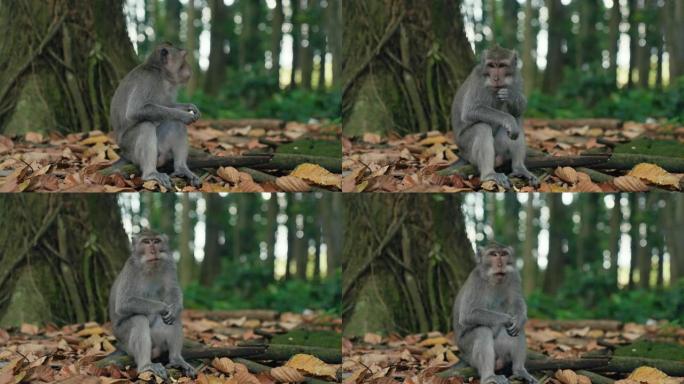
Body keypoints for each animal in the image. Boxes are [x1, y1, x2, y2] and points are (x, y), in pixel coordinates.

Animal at [107, 230, 196, 380]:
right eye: (146, 242)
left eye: (157, 241)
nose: (153, 250)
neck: (150, 267)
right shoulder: (131, 269)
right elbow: (124, 302)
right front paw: (163, 307)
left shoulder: (169, 264)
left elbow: (173, 291)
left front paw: (175, 308)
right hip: (125, 340)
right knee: (139, 320)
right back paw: (145, 365)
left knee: (172, 319)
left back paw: (176, 359)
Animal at [110, 42, 200, 190]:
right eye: (184, 58)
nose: (189, 68)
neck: (160, 73)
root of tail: (123, 154)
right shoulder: (149, 80)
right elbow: (135, 110)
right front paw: (184, 115)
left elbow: (167, 105)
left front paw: (190, 107)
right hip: (131, 150)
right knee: (146, 125)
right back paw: (150, 173)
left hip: (162, 150)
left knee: (175, 124)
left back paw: (181, 168)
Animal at [452, 45, 544, 189]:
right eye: (491, 65)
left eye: (501, 66)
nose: (495, 78)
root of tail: (462, 154)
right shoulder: (478, 79)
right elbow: (470, 110)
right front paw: (508, 120)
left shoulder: (517, 76)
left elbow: (520, 108)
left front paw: (511, 95)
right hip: (467, 150)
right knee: (482, 128)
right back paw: (488, 174)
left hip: (499, 149)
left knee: (516, 119)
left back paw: (519, 169)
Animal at [454, 243, 540, 384]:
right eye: (493, 254)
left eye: (504, 254)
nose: (500, 264)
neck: (493, 280)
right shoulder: (476, 281)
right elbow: (468, 314)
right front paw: (507, 319)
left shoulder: (514, 276)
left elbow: (517, 302)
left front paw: (519, 319)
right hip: (468, 352)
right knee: (482, 331)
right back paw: (489, 377)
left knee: (517, 331)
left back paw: (519, 370)